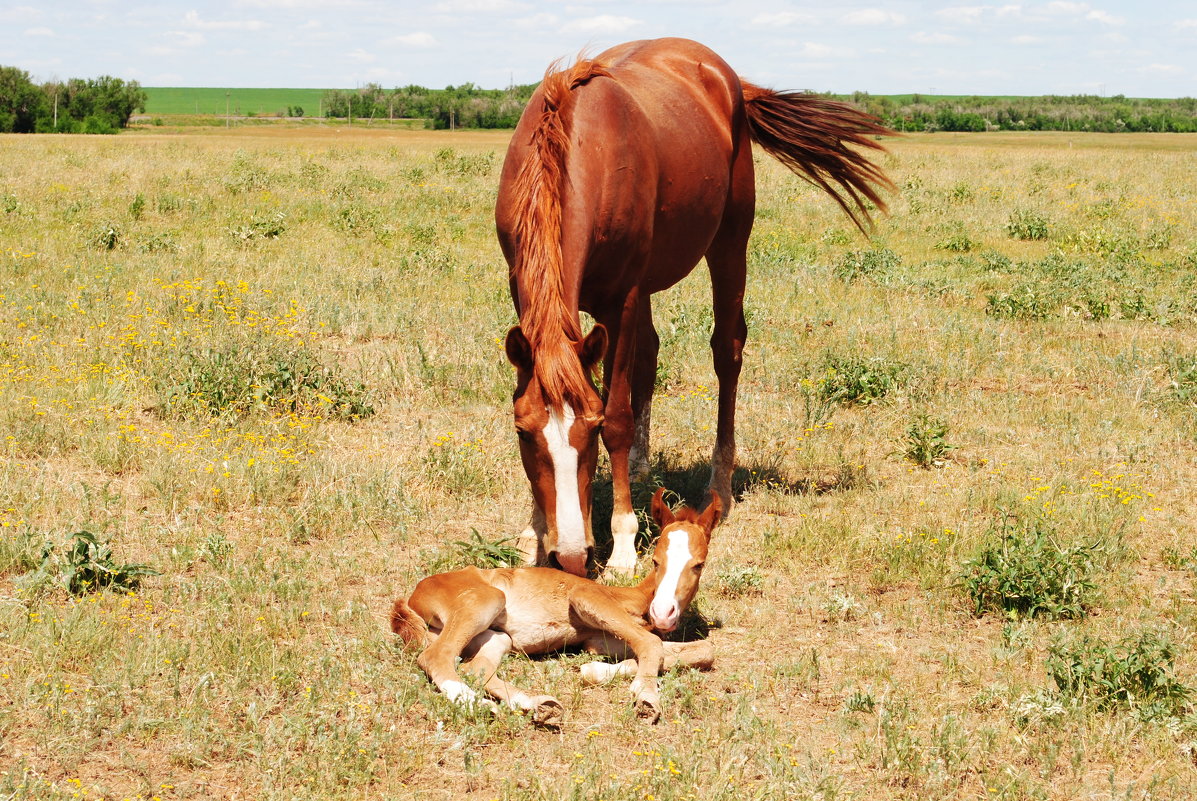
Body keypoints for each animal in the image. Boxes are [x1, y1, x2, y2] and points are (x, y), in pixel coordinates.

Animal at [390, 488, 718, 723]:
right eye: (655, 560)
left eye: (699, 564)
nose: (662, 613)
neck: (636, 597)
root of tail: (412, 597)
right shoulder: (587, 597)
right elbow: (652, 643)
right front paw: (647, 697)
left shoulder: (600, 639)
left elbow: (698, 651)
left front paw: (597, 671)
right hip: (483, 601)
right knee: (435, 656)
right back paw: (482, 708)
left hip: (495, 636)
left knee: (474, 668)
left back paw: (539, 706)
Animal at [490, 38, 895, 574]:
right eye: (522, 432)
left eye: (591, 431)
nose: (572, 558)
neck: (581, 144)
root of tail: (730, 80)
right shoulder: (526, 291)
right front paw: (533, 534)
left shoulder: (621, 299)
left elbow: (618, 415)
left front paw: (622, 545)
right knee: (650, 354)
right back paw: (642, 467)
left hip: (728, 242)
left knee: (728, 351)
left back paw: (717, 486)